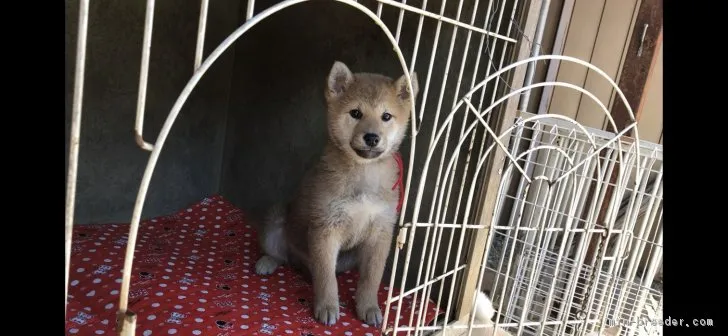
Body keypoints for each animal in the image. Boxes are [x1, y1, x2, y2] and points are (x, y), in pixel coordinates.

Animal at [255, 59, 418, 326]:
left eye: (386, 116)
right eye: (356, 113)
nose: (371, 137)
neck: (364, 173)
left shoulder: (380, 232)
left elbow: (371, 279)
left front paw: (369, 307)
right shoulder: (326, 228)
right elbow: (326, 278)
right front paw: (327, 306)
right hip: (277, 217)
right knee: (281, 254)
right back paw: (267, 262)